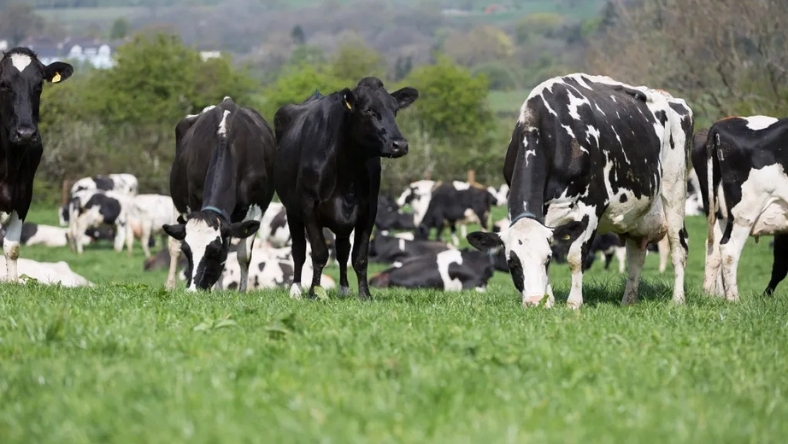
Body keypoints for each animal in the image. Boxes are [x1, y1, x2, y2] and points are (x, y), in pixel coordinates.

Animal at [0, 47, 73, 281]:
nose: (25, 133)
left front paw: (12, 281)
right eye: (4, 84)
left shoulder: (24, 194)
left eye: (39, 85)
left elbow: (12, 247)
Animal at [162, 97, 276, 292]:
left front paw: (241, 291)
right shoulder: (194, 201)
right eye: (188, 251)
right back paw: (171, 285)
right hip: (177, 203)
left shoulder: (258, 207)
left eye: (214, 251)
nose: (193, 289)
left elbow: (243, 254)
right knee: (173, 245)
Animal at [273, 77, 418, 299]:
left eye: (395, 111)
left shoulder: (368, 209)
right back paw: (296, 288)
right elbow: (318, 253)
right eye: (369, 110)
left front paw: (365, 295)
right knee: (298, 249)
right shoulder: (308, 206)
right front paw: (314, 293)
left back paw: (343, 288)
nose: (399, 145)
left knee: (342, 250)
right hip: (291, 209)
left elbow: (359, 256)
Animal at [466, 74, 692, 308]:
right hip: (637, 215)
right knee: (636, 255)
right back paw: (628, 301)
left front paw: (573, 304)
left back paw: (678, 300)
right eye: (512, 263)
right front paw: (549, 302)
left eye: (546, 258)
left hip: (675, 188)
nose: (534, 301)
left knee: (679, 246)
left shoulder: (591, 206)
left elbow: (575, 258)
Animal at [693, 115, 788, 300]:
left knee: (713, 249)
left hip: (720, 213)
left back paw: (709, 295)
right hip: (745, 212)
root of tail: (720, 125)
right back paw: (733, 298)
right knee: (729, 250)